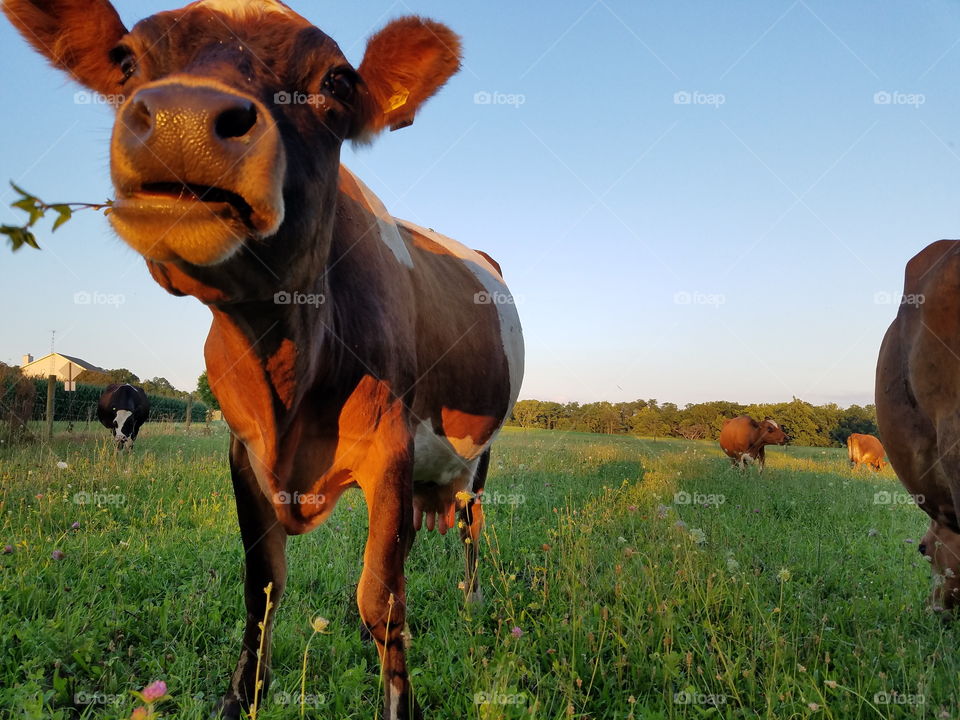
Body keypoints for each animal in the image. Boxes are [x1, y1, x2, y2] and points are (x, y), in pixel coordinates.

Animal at [3, 1, 523, 716]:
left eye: (337, 82)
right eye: (128, 61)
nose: (185, 120)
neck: (289, 360)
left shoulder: (389, 445)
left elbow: (381, 600)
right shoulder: (244, 454)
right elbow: (263, 588)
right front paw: (241, 698)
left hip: (480, 456)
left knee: (472, 523)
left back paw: (472, 596)